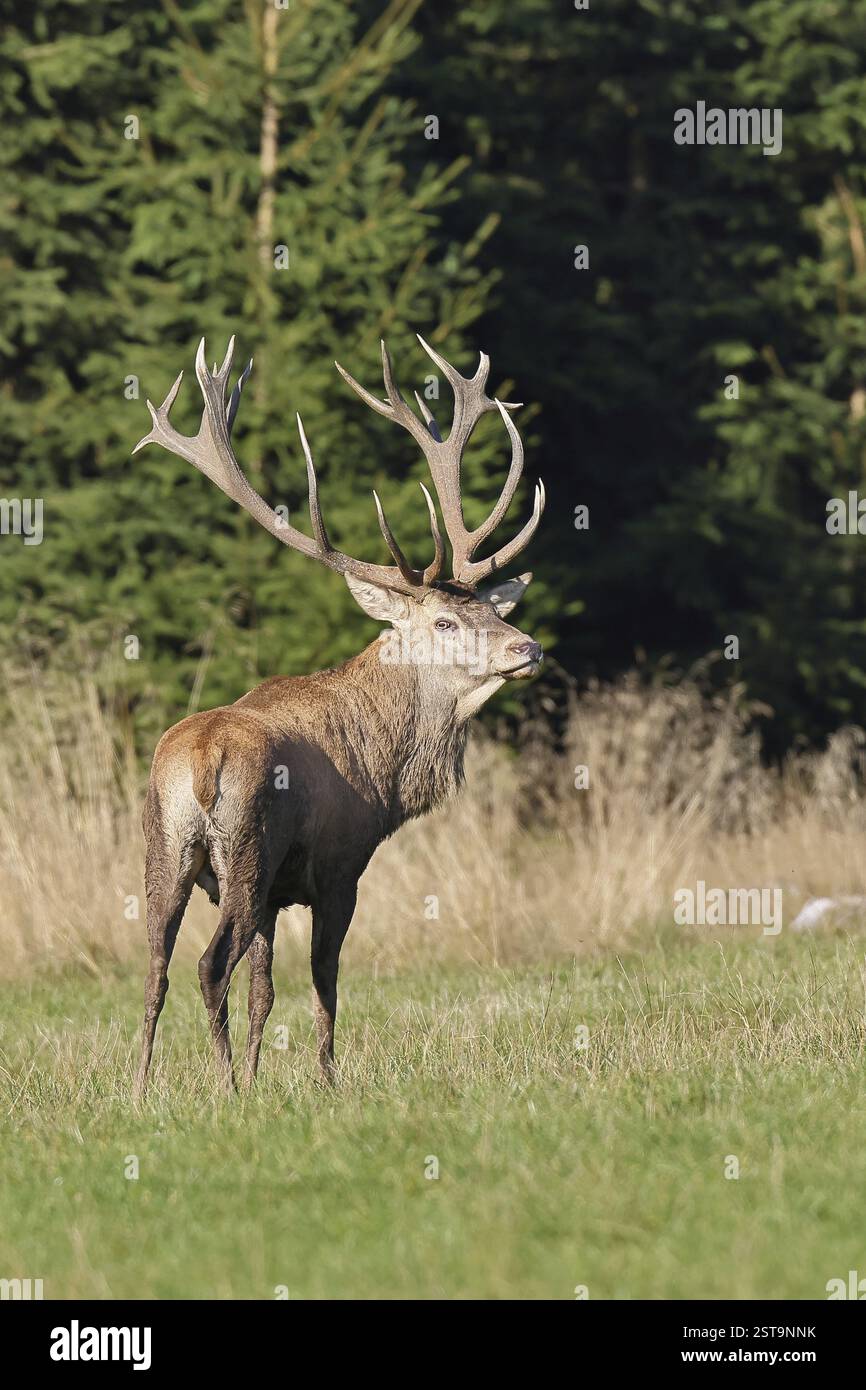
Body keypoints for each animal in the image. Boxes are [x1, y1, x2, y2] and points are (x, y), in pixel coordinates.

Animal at [131, 333, 544, 1099]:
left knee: (155, 967)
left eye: (492, 608)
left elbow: (264, 990)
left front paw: (264, 1076)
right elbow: (323, 980)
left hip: (166, 847)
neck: (386, 769)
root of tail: (199, 761)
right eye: (445, 621)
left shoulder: (277, 894)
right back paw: (224, 1087)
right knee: (209, 965)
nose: (527, 648)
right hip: (246, 848)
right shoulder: (340, 863)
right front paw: (323, 1081)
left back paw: (143, 1089)